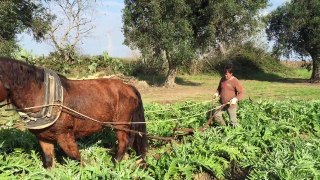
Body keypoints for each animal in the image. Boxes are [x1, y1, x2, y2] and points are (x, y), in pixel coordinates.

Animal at [0, 57, 148, 168]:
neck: (43, 96)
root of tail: (128, 87)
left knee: (123, 142)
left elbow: (76, 157)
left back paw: (115, 164)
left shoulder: (65, 135)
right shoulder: (43, 138)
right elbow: (49, 162)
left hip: (121, 124)